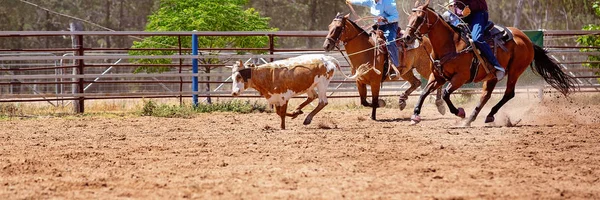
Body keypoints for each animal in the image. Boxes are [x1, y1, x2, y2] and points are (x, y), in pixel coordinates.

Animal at [400, 0, 576, 126]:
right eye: (409, 17)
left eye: (420, 18)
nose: (406, 37)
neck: (451, 44)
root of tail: (526, 40)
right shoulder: (437, 76)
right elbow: (424, 92)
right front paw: (415, 115)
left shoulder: (460, 78)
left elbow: (445, 94)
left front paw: (460, 112)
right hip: (491, 77)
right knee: (486, 95)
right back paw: (471, 119)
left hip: (515, 71)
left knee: (508, 94)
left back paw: (486, 116)